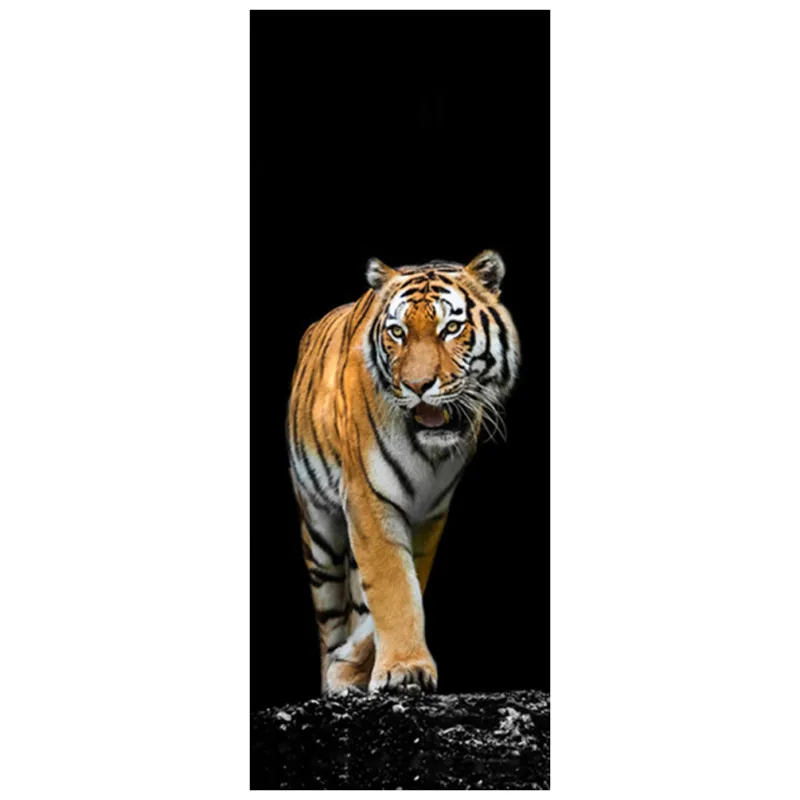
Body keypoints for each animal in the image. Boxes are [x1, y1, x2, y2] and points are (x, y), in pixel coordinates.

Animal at [287, 250, 520, 694]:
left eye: (451, 328)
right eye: (397, 332)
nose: (417, 385)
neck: (429, 452)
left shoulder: (430, 513)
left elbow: (404, 586)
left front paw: (364, 666)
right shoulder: (367, 497)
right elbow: (395, 585)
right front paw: (403, 669)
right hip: (319, 535)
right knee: (330, 618)